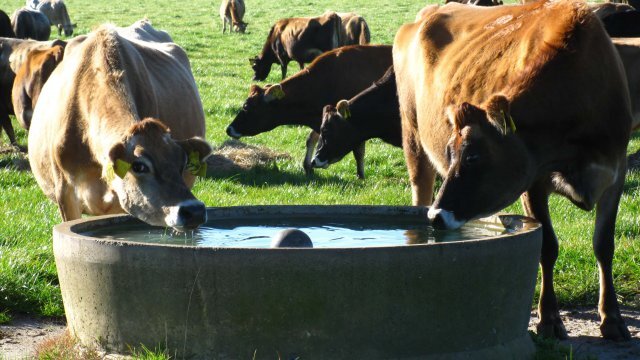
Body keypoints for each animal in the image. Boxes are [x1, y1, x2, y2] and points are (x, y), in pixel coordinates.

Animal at [228, 44, 392, 177]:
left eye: (246, 107)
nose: (229, 129)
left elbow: (358, 151)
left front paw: (361, 176)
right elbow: (311, 139)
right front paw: (307, 166)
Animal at [392, 0, 632, 344]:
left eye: (473, 157)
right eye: (451, 153)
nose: (437, 217)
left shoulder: (615, 172)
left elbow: (604, 245)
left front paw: (612, 319)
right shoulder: (533, 181)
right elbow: (547, 247)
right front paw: (548, 320)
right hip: (412, 136)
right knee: (419, 191)